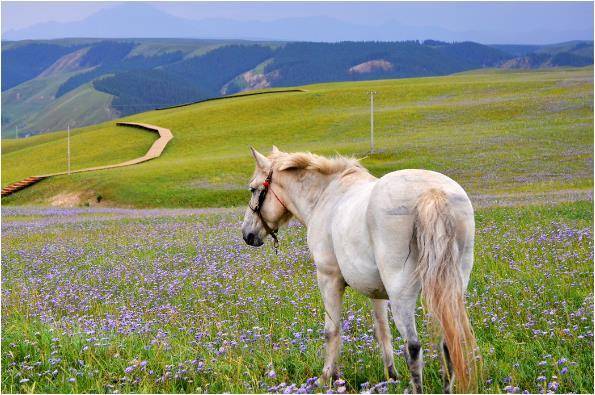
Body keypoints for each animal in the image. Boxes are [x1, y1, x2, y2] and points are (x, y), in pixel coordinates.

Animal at [242, 148, 480, 392]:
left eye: (253, 189)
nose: (247, 235)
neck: (325, 195)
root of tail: (432, 193)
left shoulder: (329, 279)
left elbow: (332, 331)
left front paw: (327, 378)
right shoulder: (377, 292)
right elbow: (382, 331)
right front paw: (391, 376)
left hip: (402, 293)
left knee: (413, 346)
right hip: (447, 290)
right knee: (448, 342)